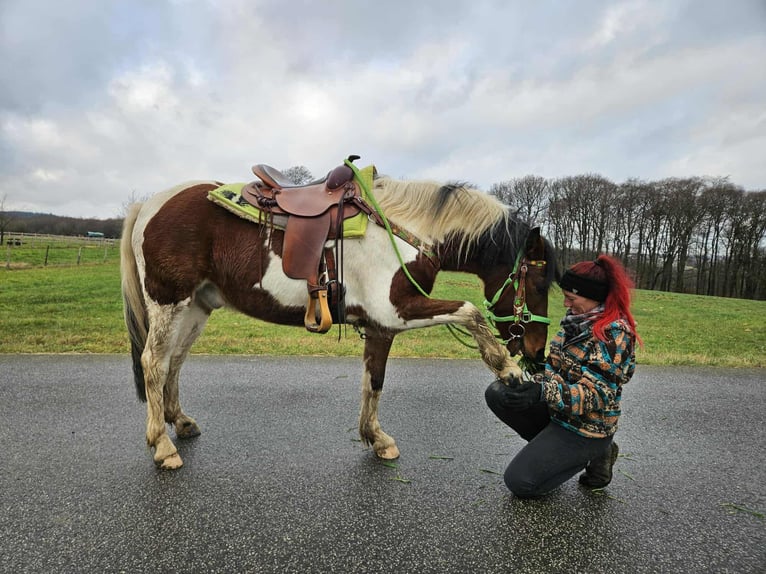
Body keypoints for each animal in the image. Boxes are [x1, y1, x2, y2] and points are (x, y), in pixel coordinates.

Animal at [120, 163, 558, 469]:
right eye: (539, 285)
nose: (537, 353)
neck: (404, 232)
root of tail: (149, 205)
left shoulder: (381, 326)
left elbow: (374, 381)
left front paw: (376, 438)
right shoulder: (397, 312)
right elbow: (468, 312)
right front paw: (506, 370)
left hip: (196, 306)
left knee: (174, 361)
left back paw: (180, 422)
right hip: (169, 302)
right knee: (154, 363)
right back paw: (163, 445)